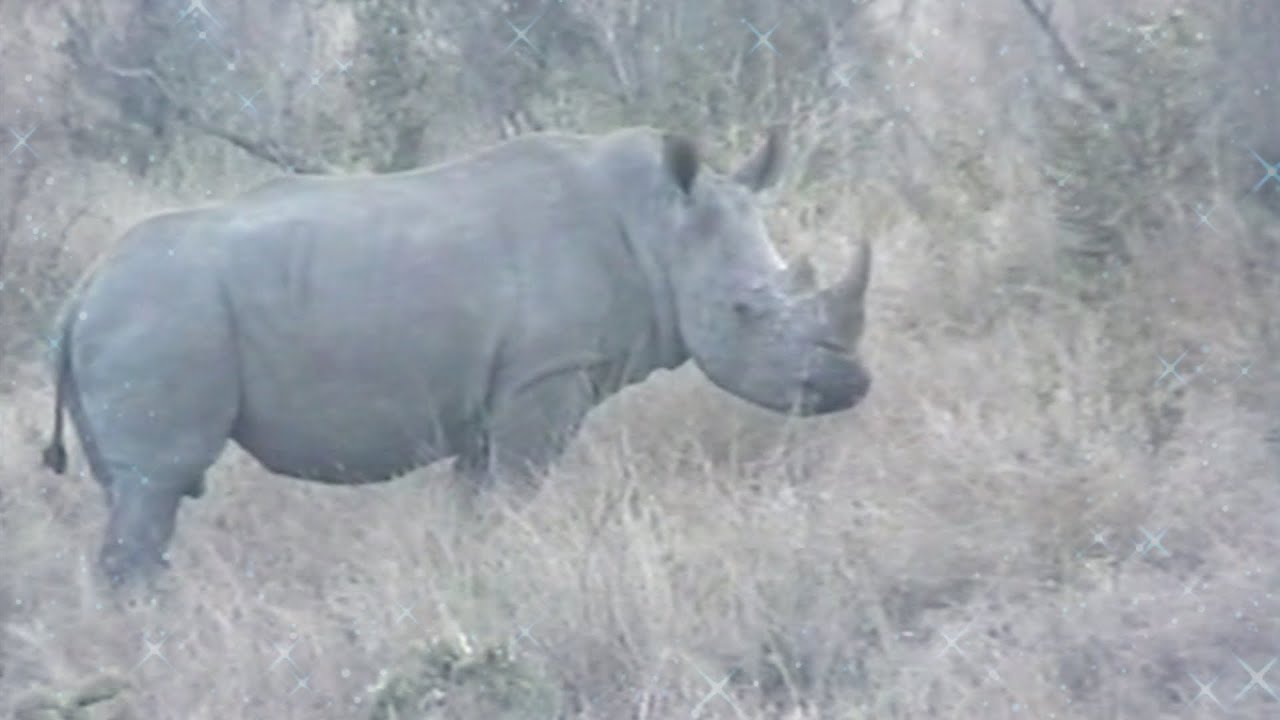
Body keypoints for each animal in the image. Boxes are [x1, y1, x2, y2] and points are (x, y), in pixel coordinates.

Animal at [41, 125, 872, 585]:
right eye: (744, 311)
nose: (849, 385)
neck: (657, 225)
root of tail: (79, 290)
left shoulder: (495, 395)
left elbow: (477, 500)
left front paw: (471, 568)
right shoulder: (547, 376)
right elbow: (517, 489)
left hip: (143, 313)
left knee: (136, 489)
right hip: (161, 314)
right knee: (158, 484)